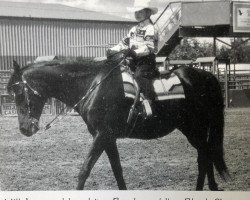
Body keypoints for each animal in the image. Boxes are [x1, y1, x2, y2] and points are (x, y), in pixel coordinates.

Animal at [6, 50, 229, 190]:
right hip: (193, 129)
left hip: (195, 128)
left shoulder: (102, 135)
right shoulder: (108, 137)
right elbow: (117, 170)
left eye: (19, 92)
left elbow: (84, 170)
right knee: (206, 155)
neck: (92, 86)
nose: (24, 129)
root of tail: (206, 76)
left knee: (205, 155)